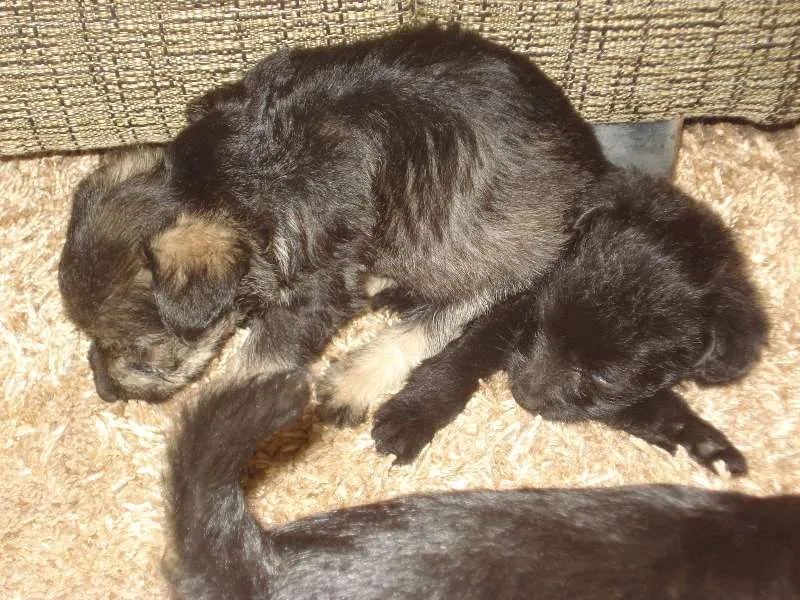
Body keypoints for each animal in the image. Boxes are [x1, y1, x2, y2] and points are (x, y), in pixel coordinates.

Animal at [58, 24, 608, 415]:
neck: (223, 181)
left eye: (141, 352)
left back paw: (357, 376)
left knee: (472, 298)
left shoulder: (315, 289)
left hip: (474, 233)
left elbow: (257, 362)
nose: (104, 389)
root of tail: (588, 158)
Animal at [371, 167, 767, 474]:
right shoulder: (519, 305)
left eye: (605, 376)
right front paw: (413, 414)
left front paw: (705, 443)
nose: (525, 395)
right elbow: (460, 359)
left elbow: (648, 407)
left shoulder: (618, 393)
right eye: (542, 323)